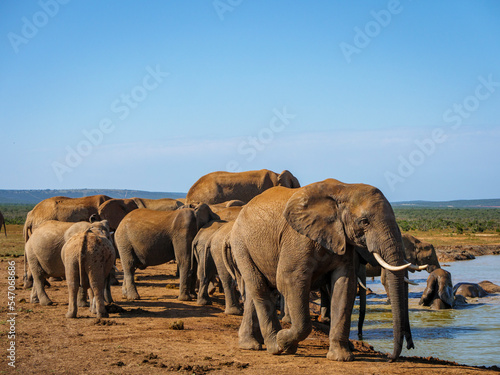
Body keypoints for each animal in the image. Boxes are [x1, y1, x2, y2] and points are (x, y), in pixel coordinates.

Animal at [230, 181, 418, 362]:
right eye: (365, 221)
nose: (390, 358)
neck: (345, 189)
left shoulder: (343, 241)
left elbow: (345, 285)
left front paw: (341, 357)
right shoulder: (298, 238)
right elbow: (290, 280)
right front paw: (284, 341)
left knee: (256, 292)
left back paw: (251, 345)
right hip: (241, 244)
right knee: (260, 288)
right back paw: (274, 346)